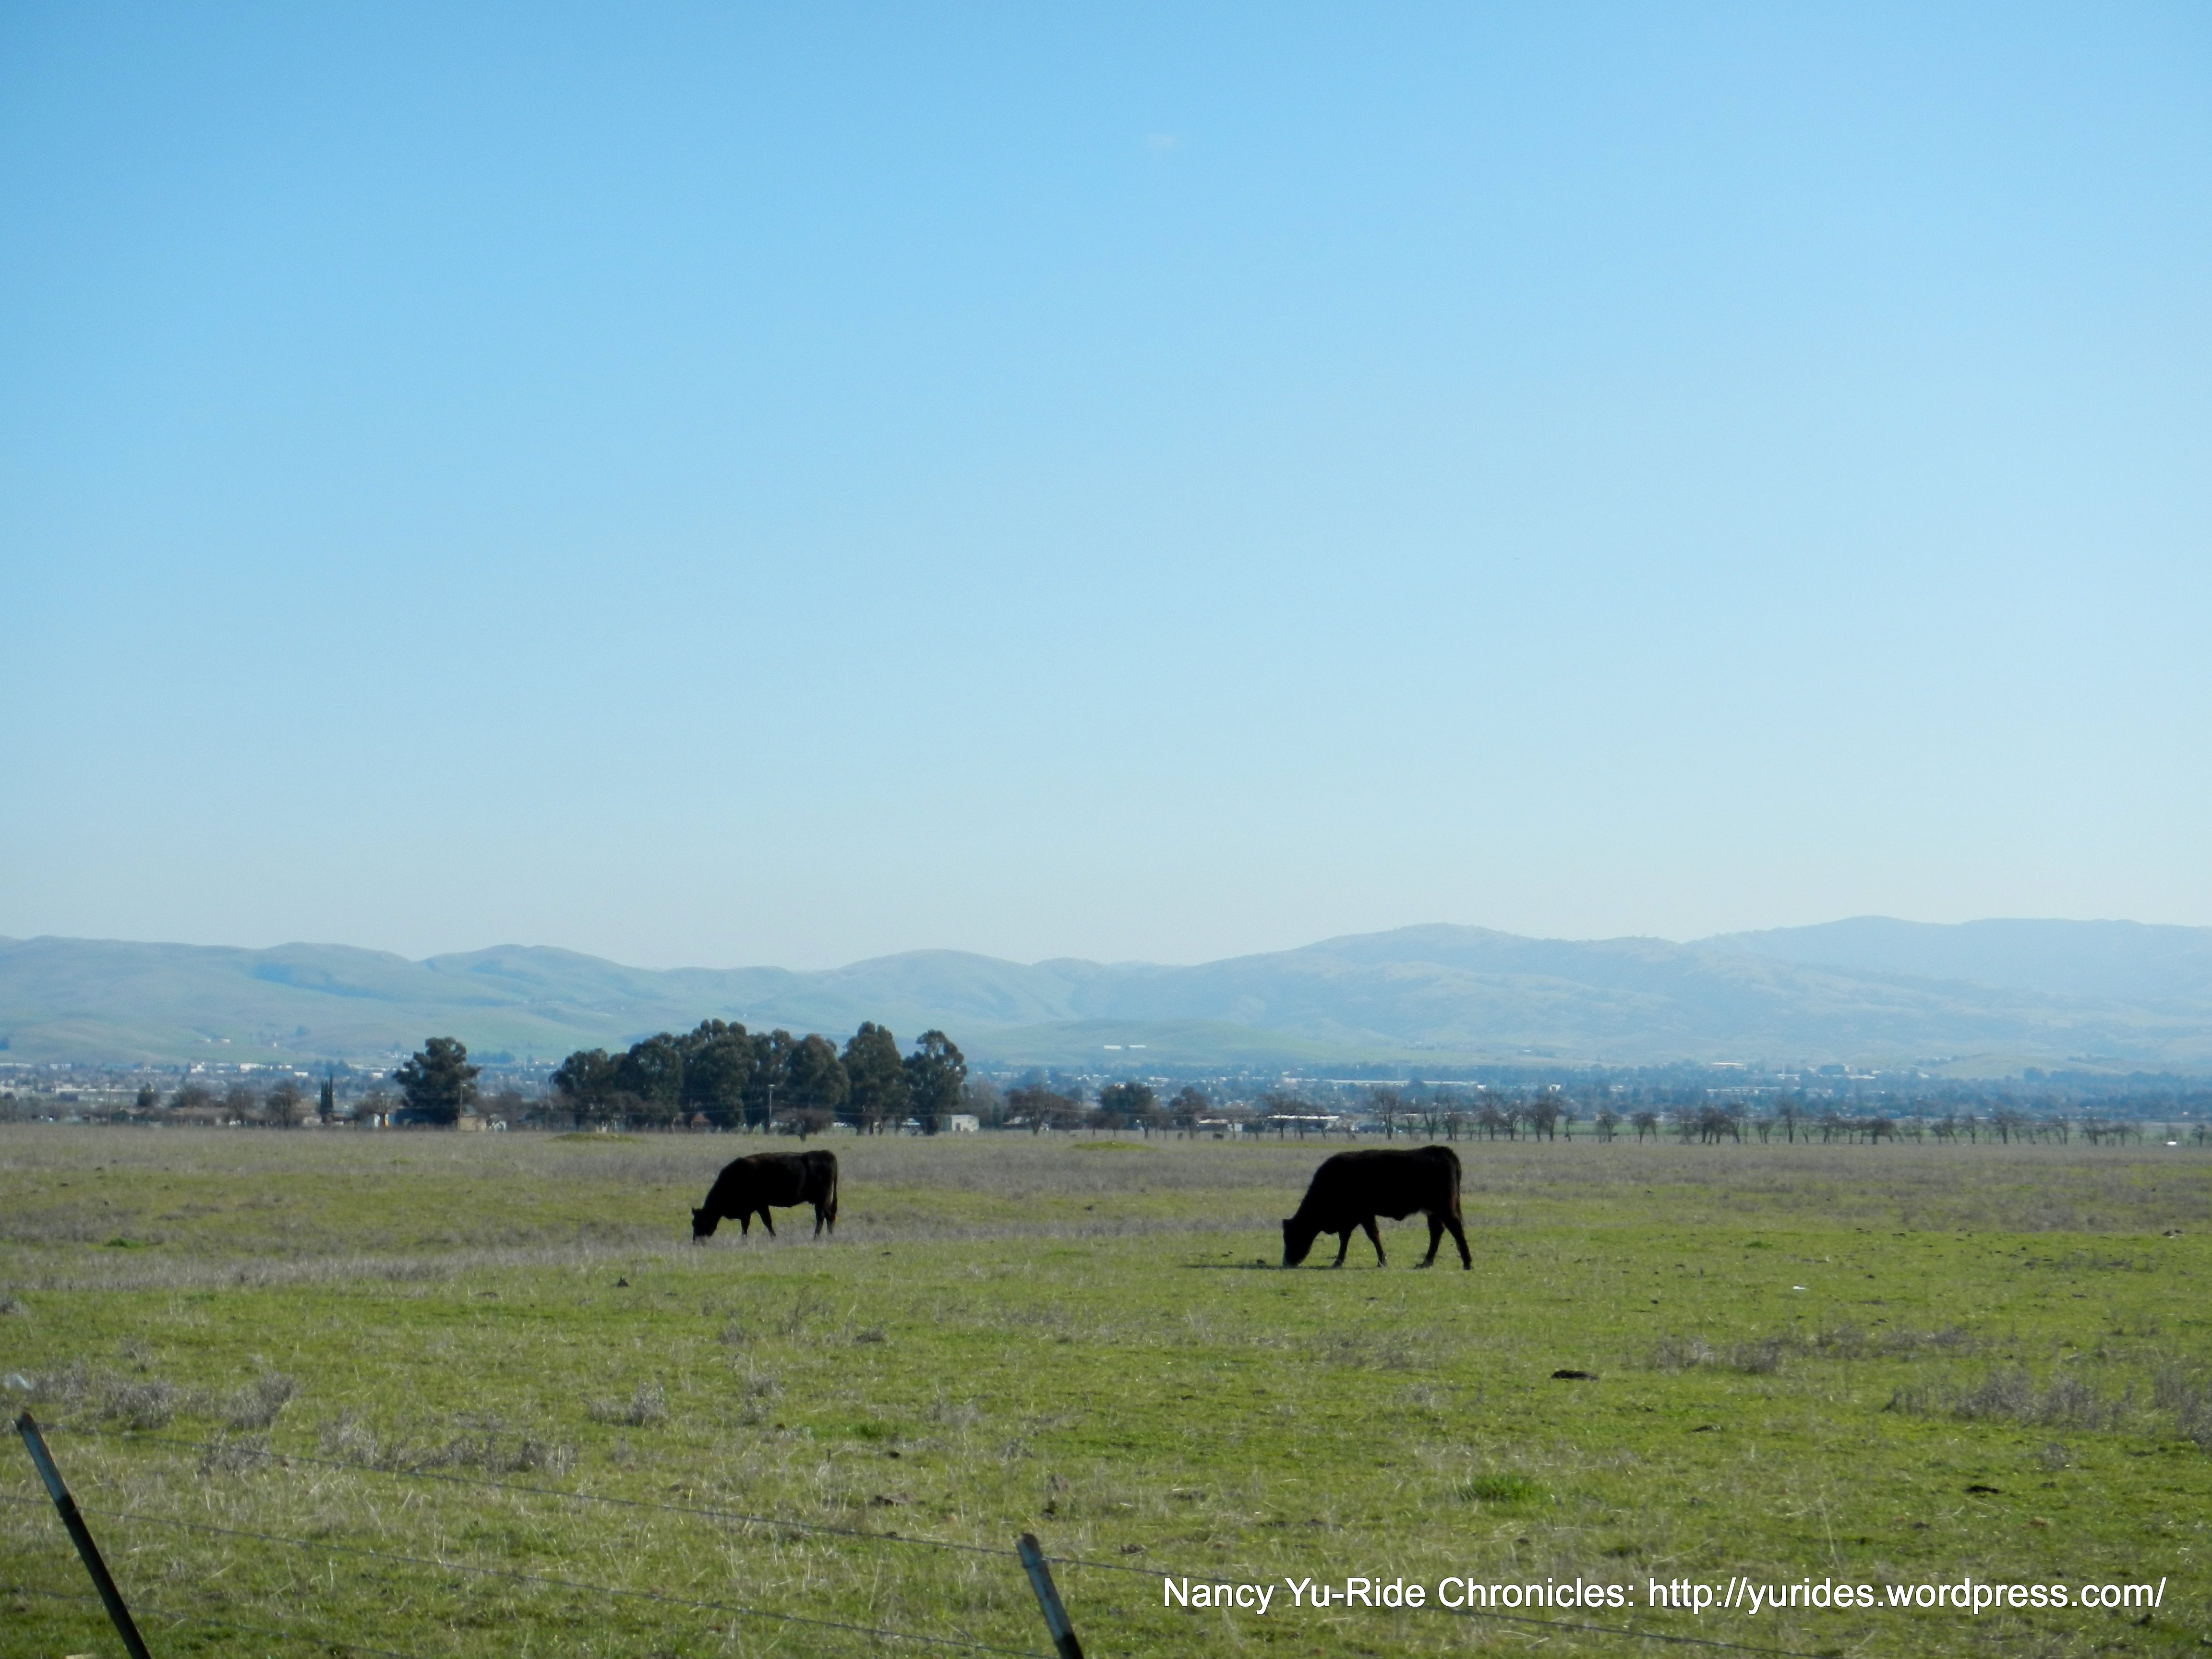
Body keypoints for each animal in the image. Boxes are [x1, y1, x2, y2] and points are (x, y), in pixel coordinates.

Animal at [692, 1150, 840, 1242]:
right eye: (694, 1223)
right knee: (829, 1215)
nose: (696, 1241)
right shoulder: (747, 1210)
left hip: (821, 1199)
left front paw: (773, 1237)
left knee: (821, 1217)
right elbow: (746, 1225)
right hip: (822, 1200)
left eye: (700, 1222)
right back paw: (829, 1235)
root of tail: (827, 1154)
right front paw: (744, 1238)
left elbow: (767, 1221)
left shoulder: (760, 1205)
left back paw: (816, 1237)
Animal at [1281, 1145, 1471, 1269]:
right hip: (1433, 1211)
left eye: (1292, 1236)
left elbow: (1372, 1235)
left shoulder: (1363, 1214)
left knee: (1455, 1228)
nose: (1287, 1262)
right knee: (1437, 1231)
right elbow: (1346, 1238)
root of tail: (1443, 1151)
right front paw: (1339, 1261)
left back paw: (1467, 1263)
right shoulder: (1351, 1219)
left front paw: (1381, 1262)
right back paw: (1426, 1262)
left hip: (1444, 1207)